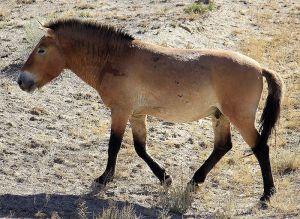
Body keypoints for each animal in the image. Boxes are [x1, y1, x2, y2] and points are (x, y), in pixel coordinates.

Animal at [17, 19, 282, 202]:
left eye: (41, 50)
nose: (21, 81)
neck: (113, 59)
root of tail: (260, 68)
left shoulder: (121, 111)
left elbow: (114, 145)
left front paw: (104, 179)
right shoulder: (136, 114)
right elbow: (140, 148)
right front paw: (165, 177)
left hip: (240, 118)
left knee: (260, 148)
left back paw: (267, 194)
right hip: (221, 117)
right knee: (222, 147)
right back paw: (194, 181)